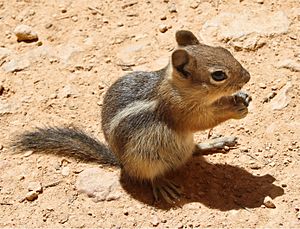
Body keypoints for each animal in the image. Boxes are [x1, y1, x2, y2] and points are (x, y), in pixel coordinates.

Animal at [11, 30, 251, 204]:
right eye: (218, 75)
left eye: (224, 50)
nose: (247, 77)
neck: (176, 88)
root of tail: (121, 163)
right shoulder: (179, 110)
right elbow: (202, 120)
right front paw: (234, 109)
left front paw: (241, 97)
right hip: (145, 160)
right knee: (150, 176)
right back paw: (162, 185)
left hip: (182, 146)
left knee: (193, 151)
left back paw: (215, 142)